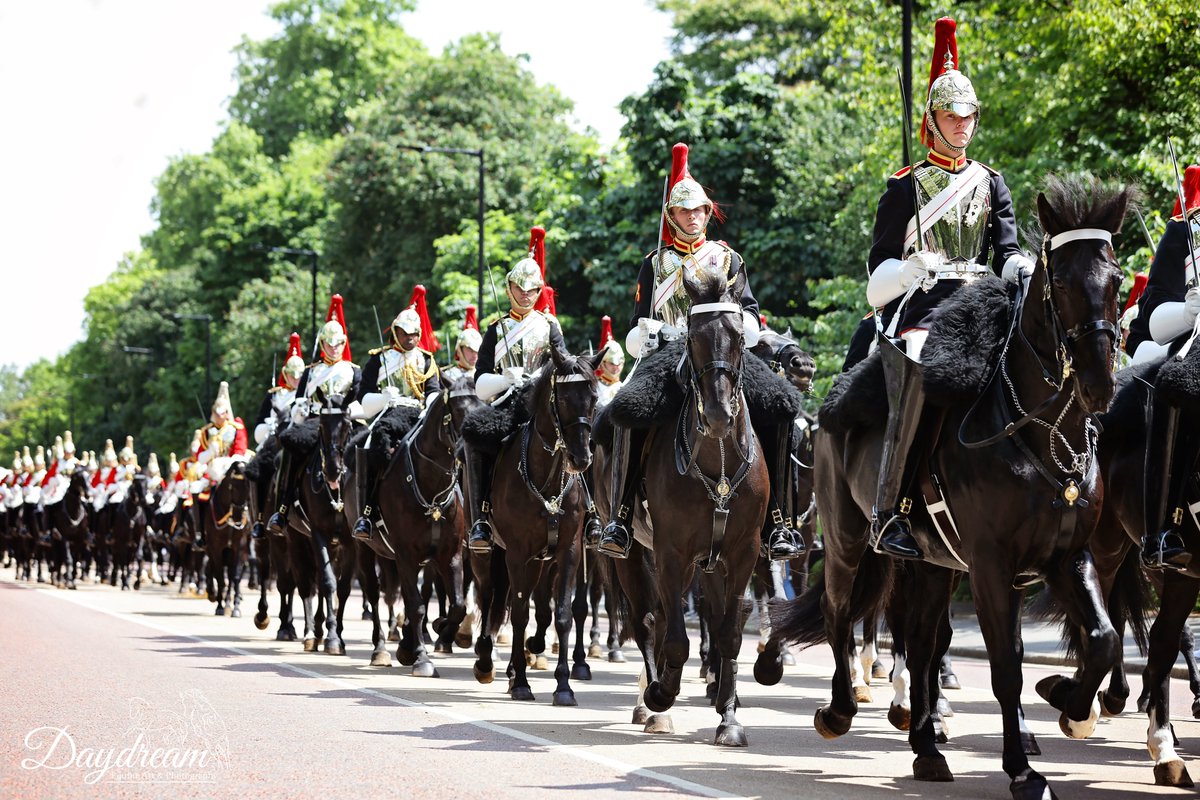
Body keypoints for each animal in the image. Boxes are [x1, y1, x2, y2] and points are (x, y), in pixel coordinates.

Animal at [772, 176, 1128, 800]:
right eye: (1060, 281)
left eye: (1117, 280)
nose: (1098, 385)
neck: (1039, 430)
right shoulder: (990, 564)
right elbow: (1006, 668)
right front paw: (1022, 770)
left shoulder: (1067, 556)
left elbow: (1103, 638)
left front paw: (1067, 700)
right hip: (844, 540)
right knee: (841, 613)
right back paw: (840, 710)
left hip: (934, 563)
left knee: (920, 640)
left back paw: (926, 747)